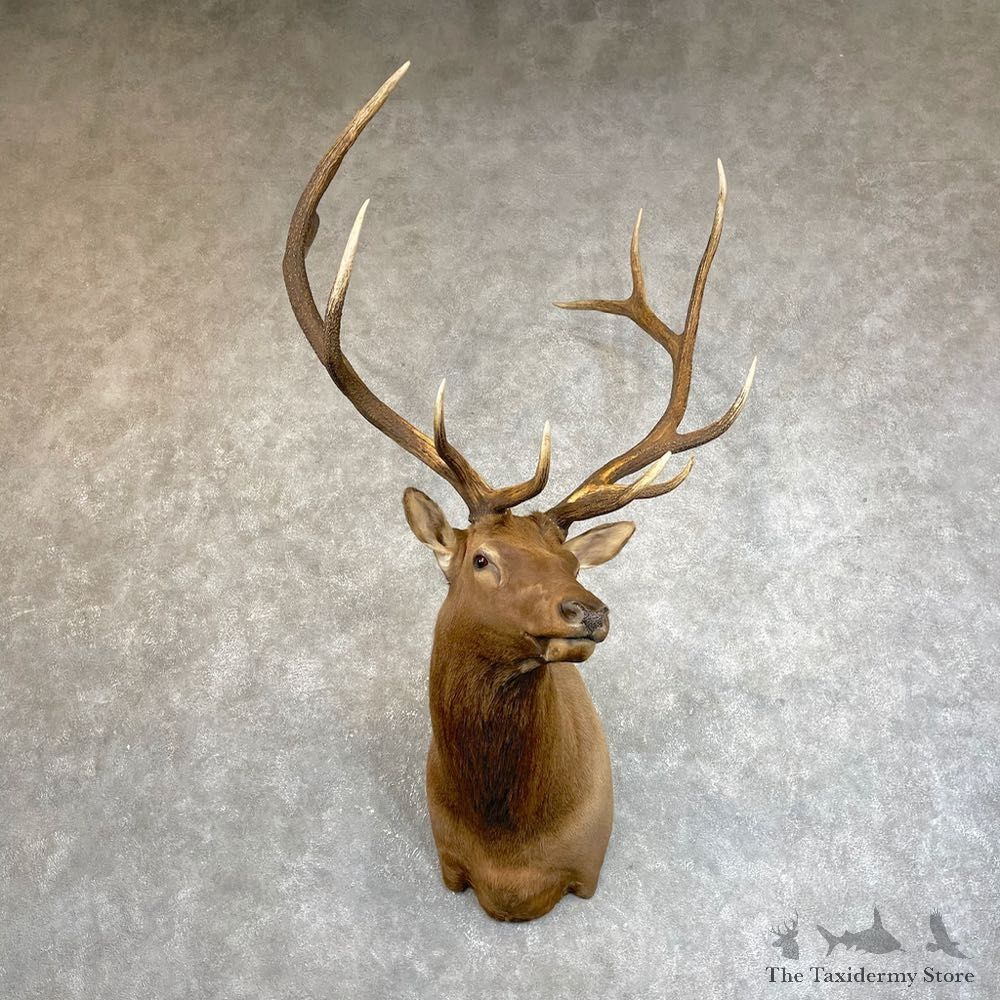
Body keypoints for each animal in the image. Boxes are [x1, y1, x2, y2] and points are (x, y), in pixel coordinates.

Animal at [283, 63, 755, 922]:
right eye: (482, 560)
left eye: (576, 565)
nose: (588, 612)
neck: (510, 852)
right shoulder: (450, 864)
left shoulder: (586, 868)